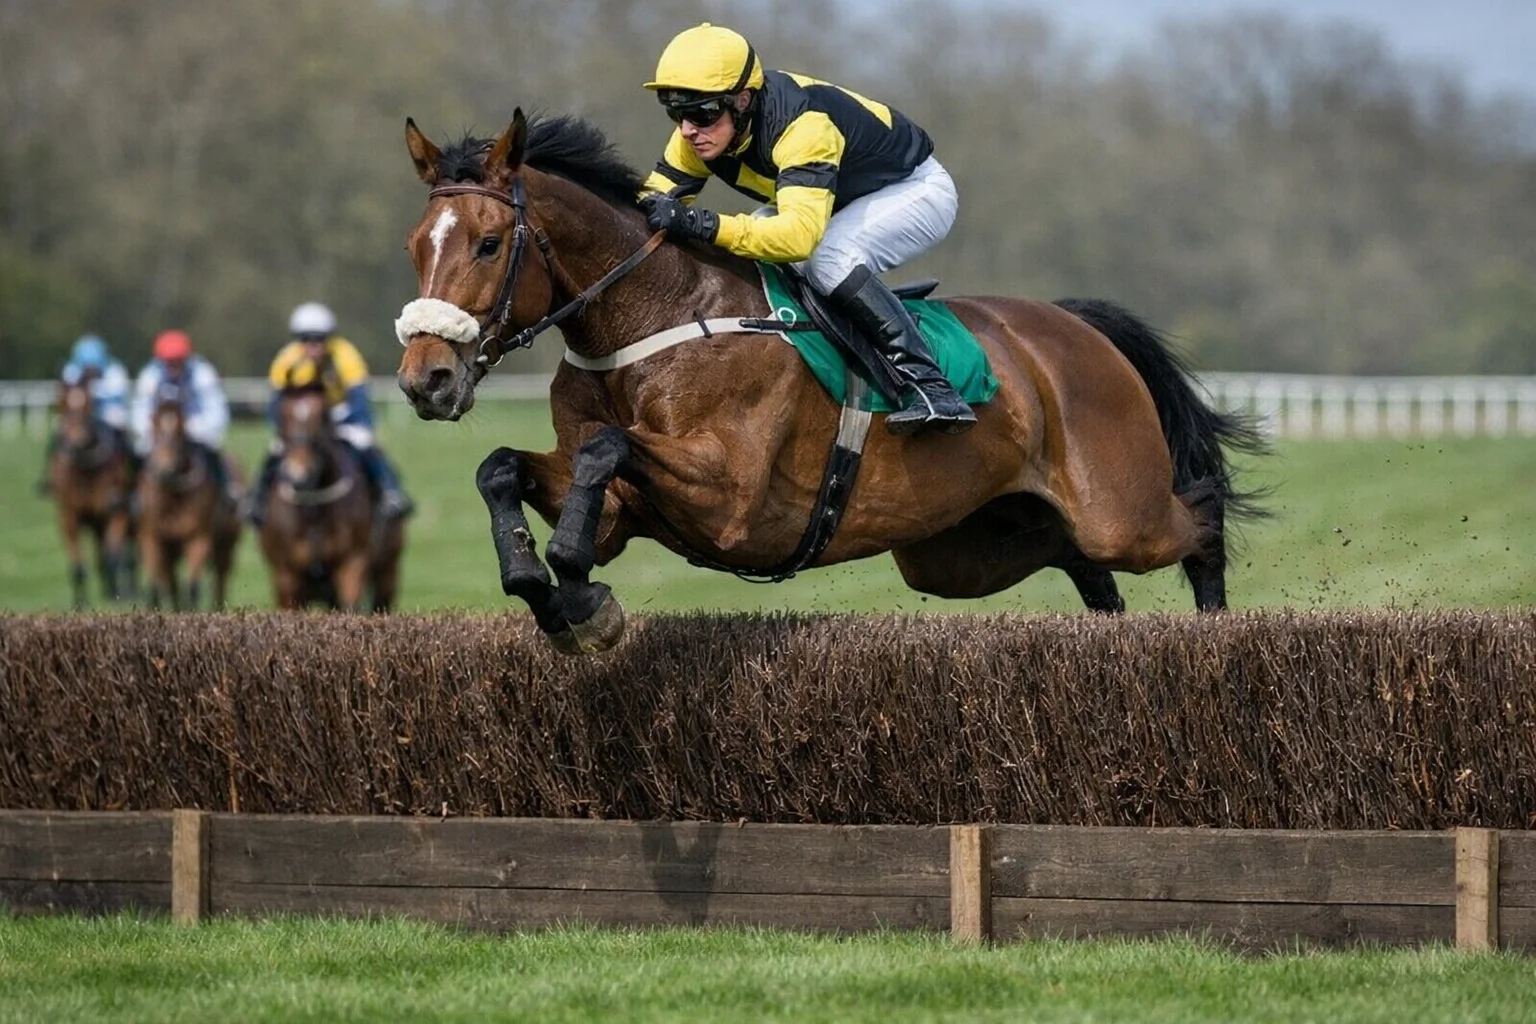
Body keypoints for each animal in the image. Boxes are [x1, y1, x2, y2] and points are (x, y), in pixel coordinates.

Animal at [49, 380, 135, 607]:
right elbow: (77, 566)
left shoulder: (115, 512)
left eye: (89, 405)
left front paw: (117, 594)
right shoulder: (69, 517)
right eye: (64, 406)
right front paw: (80, 603)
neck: (86, 471)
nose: (76, 443)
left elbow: (112, 557)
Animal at [135, 398, 242, 610]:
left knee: (220, 581)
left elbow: (193, 587)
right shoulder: (153, 539)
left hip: (226, 546)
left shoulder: (199, 539)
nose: (163, 470)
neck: (174, 495)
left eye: (180, 429)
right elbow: (156, 588)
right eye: (154, 426)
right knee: (173, 585)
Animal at [257, 386, 404, 611]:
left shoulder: (353, 562)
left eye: (323, 415)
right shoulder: (286, 574)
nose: (299, 474)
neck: (314, 508)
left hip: (388, 571)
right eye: (284, 415)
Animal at [395, 111, 1267, 654]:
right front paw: (552, 592)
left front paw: (578, 593)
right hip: (967, 547)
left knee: (1198, 517)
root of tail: (1073, 324)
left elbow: (606, 447)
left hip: (1119, 510)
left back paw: (1219, 633)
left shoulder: (731, 496)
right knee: (1085, 568)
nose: (425, 379)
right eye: (415, 245)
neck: (654, 319)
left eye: (488, 242)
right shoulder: (622, 509)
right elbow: (504, 469)